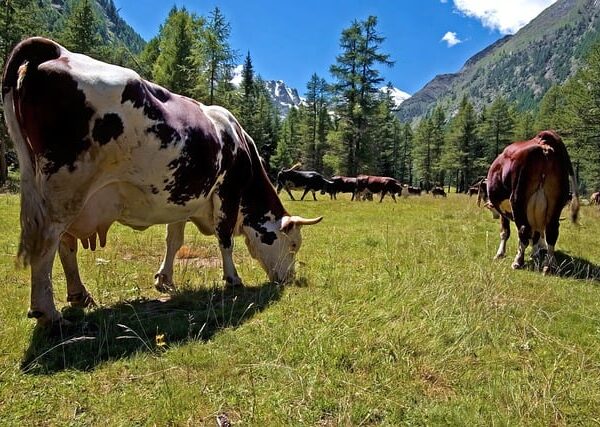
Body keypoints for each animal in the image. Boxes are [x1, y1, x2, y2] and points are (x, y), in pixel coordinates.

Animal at [2, 37, 324, 328]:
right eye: (293, 244)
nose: (289, 278)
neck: (239, 142)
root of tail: (59, 51)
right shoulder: (226, 193)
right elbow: (225, 239)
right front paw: (233, 279)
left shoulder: (182, 197)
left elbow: (174, 240)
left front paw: (164, 279)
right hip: (64, 190)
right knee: (47, 243)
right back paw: (48, 313)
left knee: (65, 244)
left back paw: (79, 295)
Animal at [486, 130, 580, 274]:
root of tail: (543, 141)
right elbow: (535, 235)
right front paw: (535, 254)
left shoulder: (505, 211)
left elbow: (505, 232)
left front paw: (500, 254)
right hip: (555, 203)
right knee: (551, 232)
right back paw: (549, 266)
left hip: (518, 198)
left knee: (524, 229)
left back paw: (518, 262)